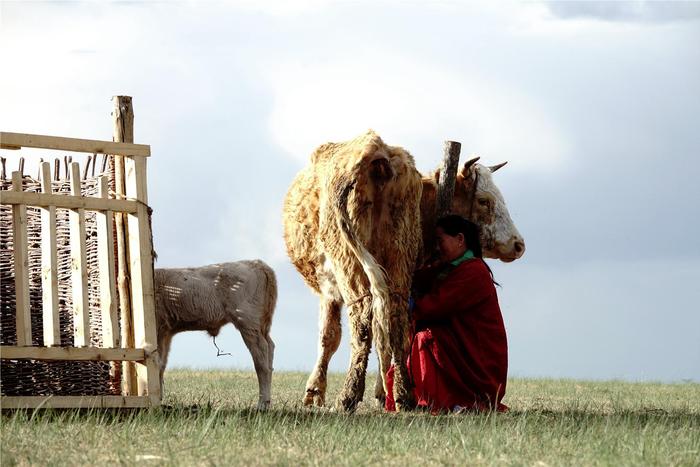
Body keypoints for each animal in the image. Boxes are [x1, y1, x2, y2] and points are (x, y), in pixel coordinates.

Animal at [153, 262, 276, 408]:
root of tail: (255, 263)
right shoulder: (166, 332)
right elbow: (162, 365)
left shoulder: (159, 329)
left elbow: (158, 363)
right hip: (262, 327)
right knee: (270, 348)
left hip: (248, 323)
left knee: (261, 358)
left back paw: (262, 404)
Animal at [284, 130, 524, 412]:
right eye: (484, 201)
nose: (518, 244)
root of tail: (377, 151)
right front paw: (379, 392)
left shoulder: (329, 289)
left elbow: (330, 336)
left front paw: (315, 392)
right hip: (397, 259)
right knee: (393, 320)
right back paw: (402, 394)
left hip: (351, 264)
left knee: (363, 320)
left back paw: (349, 397)